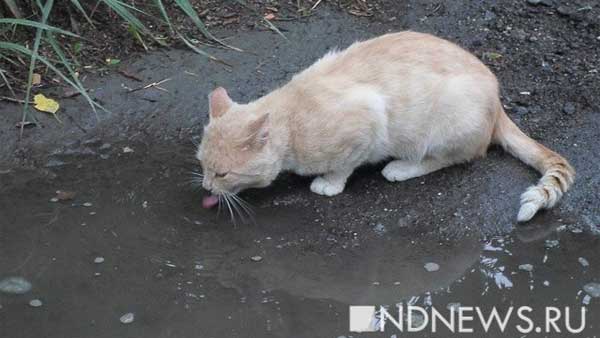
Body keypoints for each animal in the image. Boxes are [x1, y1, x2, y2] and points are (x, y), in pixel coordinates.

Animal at [196, 31, 572, 222]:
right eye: (203, 165)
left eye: (223, 174)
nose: (206, 187)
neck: (291, 121)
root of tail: (497, 100)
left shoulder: (368, 120)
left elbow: (344, 165)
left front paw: (329, 183)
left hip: (446, 123)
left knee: (456, 156)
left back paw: (402, 167)